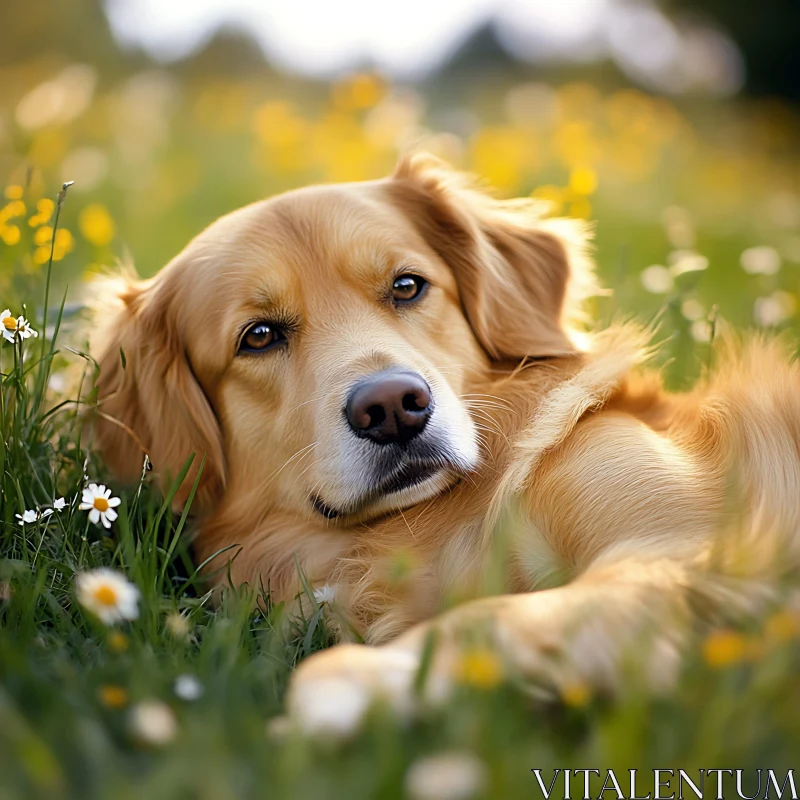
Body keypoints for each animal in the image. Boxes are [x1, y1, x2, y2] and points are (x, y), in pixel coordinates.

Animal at [90, 153, 800, 736]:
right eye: (258, 336)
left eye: (407, 286)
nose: (392, 409)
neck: (435, 521)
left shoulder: (681, 550)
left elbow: (483, 618)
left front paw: (350, 686)